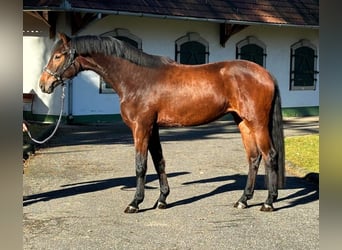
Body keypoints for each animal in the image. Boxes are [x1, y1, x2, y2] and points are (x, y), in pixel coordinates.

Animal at [38, 32, 284, 213]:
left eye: (58, 56)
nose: (43, 84)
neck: (137, 78)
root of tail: (267, 74)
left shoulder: (141, 127)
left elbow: (141, 165)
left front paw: (135, 203)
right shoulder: (152, 128)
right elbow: (159, 162)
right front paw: (162, 200)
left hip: (257, 123)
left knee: (270, 156)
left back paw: (268, 202)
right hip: (243, 122)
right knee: (253, 158)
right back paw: (243, 199)